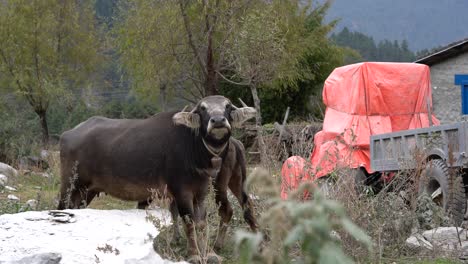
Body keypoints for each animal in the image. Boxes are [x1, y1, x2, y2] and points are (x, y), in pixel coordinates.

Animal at [59, 95, 258, 262]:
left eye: (227, 106)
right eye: (203, 108)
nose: (217, 121)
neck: (193, 149)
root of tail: (67, 135)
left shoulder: (201, 191)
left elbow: (201, 223)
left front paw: (208, 253)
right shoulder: (181, 192)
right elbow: (188, 221)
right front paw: (194, 254)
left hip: (86, 191)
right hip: (69, 186)